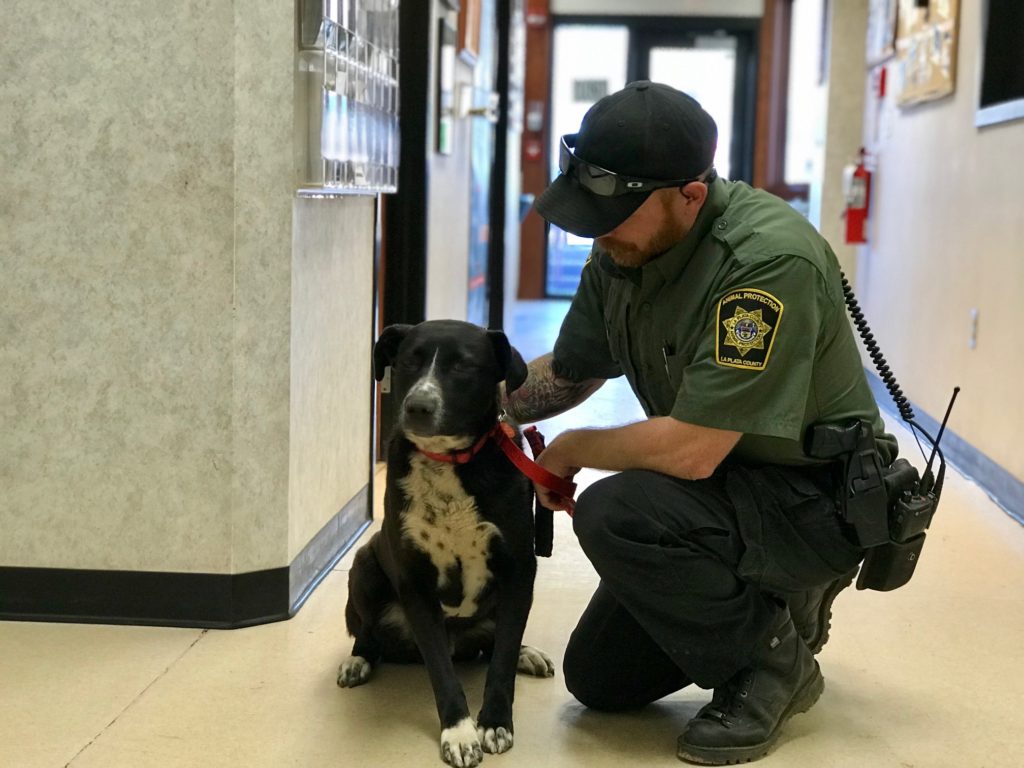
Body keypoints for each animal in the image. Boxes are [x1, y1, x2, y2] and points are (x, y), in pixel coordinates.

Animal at [337, 319, 552, 768]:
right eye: (409, 361)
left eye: (463, 366)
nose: (418, 406)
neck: (450, 460)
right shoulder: (415, 584)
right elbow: (440, 670)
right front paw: (459, 732)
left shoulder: (520, 570)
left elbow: (503, 657)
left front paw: (494, 723)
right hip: (364, 564)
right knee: (367, 632)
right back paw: (358, 660)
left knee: (497, 643)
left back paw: (527, 652)